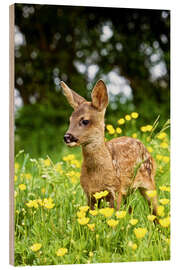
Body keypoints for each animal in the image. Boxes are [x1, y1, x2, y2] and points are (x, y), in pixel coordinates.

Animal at [61, 78, 158, 215]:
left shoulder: (115, 189)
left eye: (85, 121)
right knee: (130, 209)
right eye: (70, 120)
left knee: (155, 209)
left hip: (148, 181)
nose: (67, 137)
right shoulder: (89, 193)